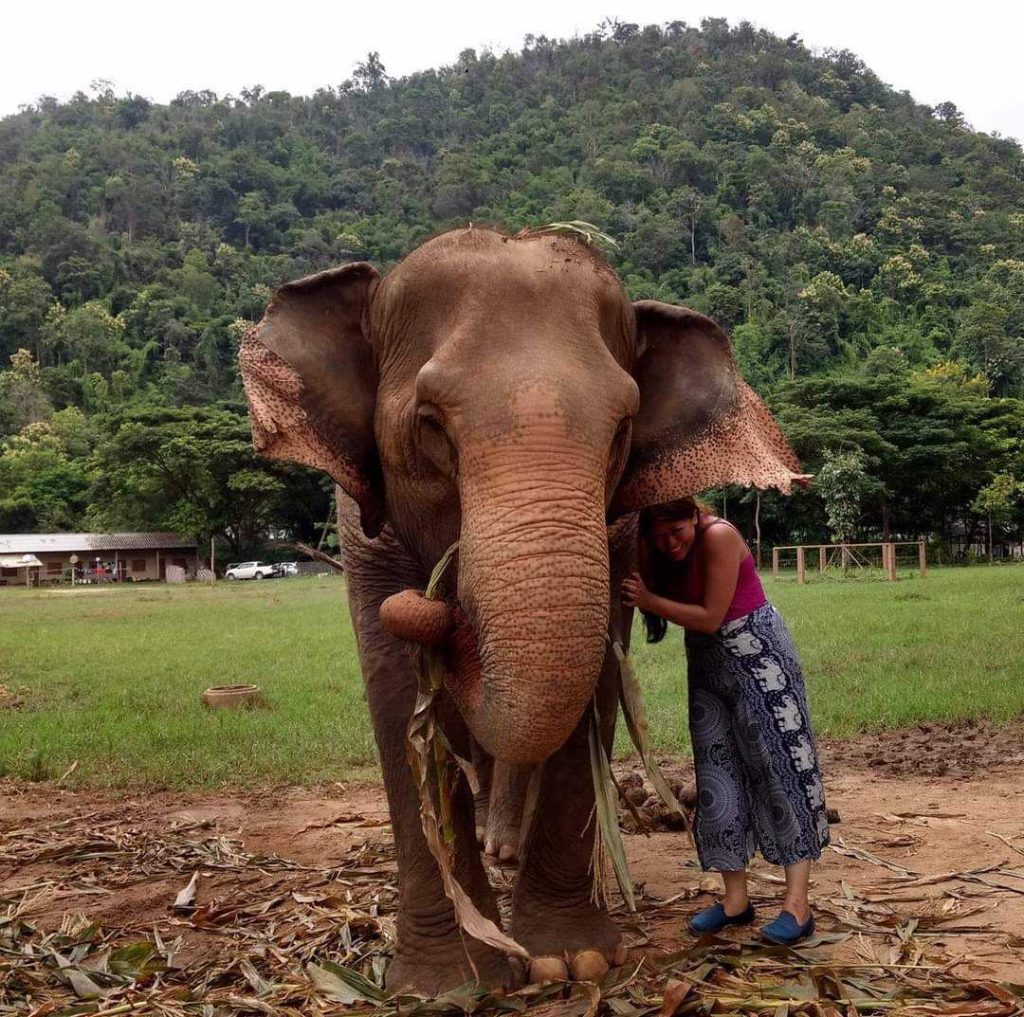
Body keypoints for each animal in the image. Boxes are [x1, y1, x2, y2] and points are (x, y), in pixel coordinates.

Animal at [239, 224, 798, 991]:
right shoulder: (362, 532)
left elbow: (591, 681)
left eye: (621, 429)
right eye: (429, 423)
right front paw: (449, 985)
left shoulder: (614, 535)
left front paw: (571, 959)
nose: (441, 602)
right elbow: (397, 694)